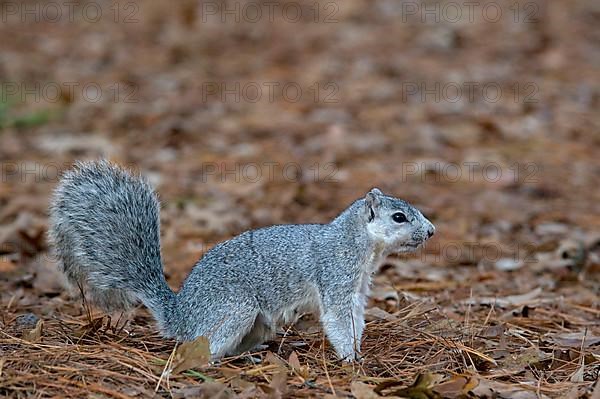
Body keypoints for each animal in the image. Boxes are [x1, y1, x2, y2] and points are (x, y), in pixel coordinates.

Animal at [49, 160, 434, 362]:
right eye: (399, 217)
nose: (431, 231)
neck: (358, 243)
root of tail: (179, 318)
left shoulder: (357, 288)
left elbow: (356, 318)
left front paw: (358, 351)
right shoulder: (336, 277)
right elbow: (339, 320)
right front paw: (351, 358)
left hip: (258, 322)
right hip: (234, 309)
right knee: (202, 349)